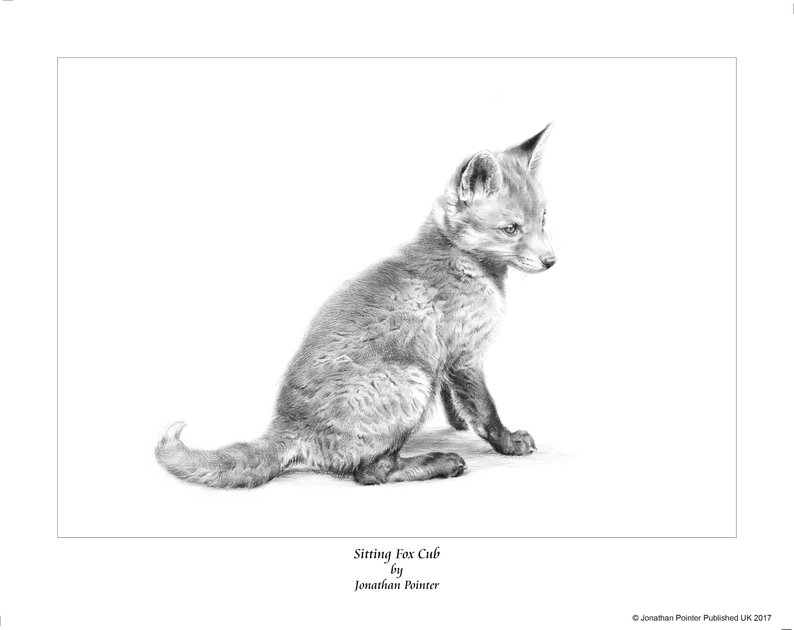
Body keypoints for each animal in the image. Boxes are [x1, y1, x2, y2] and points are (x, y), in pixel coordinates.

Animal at [155, 124, 557, 487]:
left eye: (543, 220)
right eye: (511, 229)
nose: (552, 261)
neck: (462, 260)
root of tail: (289, 426)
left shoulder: (448, 360)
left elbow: (457, 401)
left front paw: (457, 423)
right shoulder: (465, 354)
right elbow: (486, 410)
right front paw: (507, 443)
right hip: (413, 381)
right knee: (371, 473)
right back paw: (440, 462)